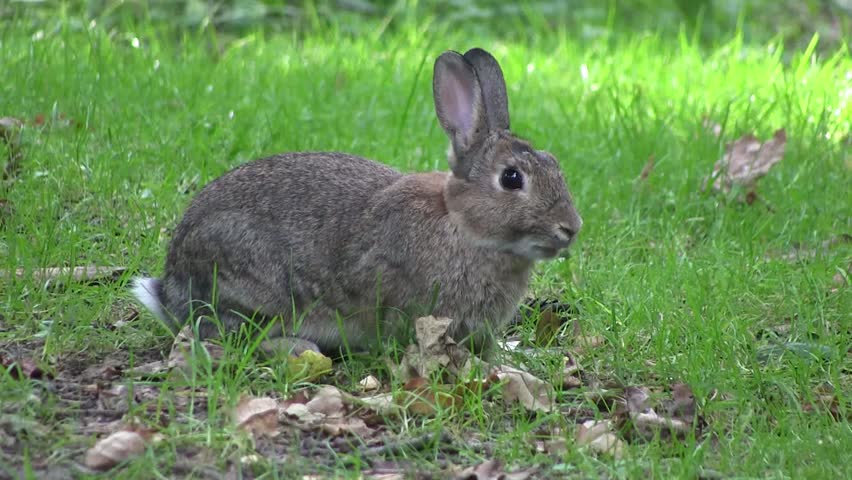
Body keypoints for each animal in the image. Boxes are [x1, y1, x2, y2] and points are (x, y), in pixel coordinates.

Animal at [132, 47, 582, 356]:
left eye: (555, 164)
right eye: (511, 178)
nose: (570, 228)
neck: (462, 227)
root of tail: (171, 288)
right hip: (255, 283)